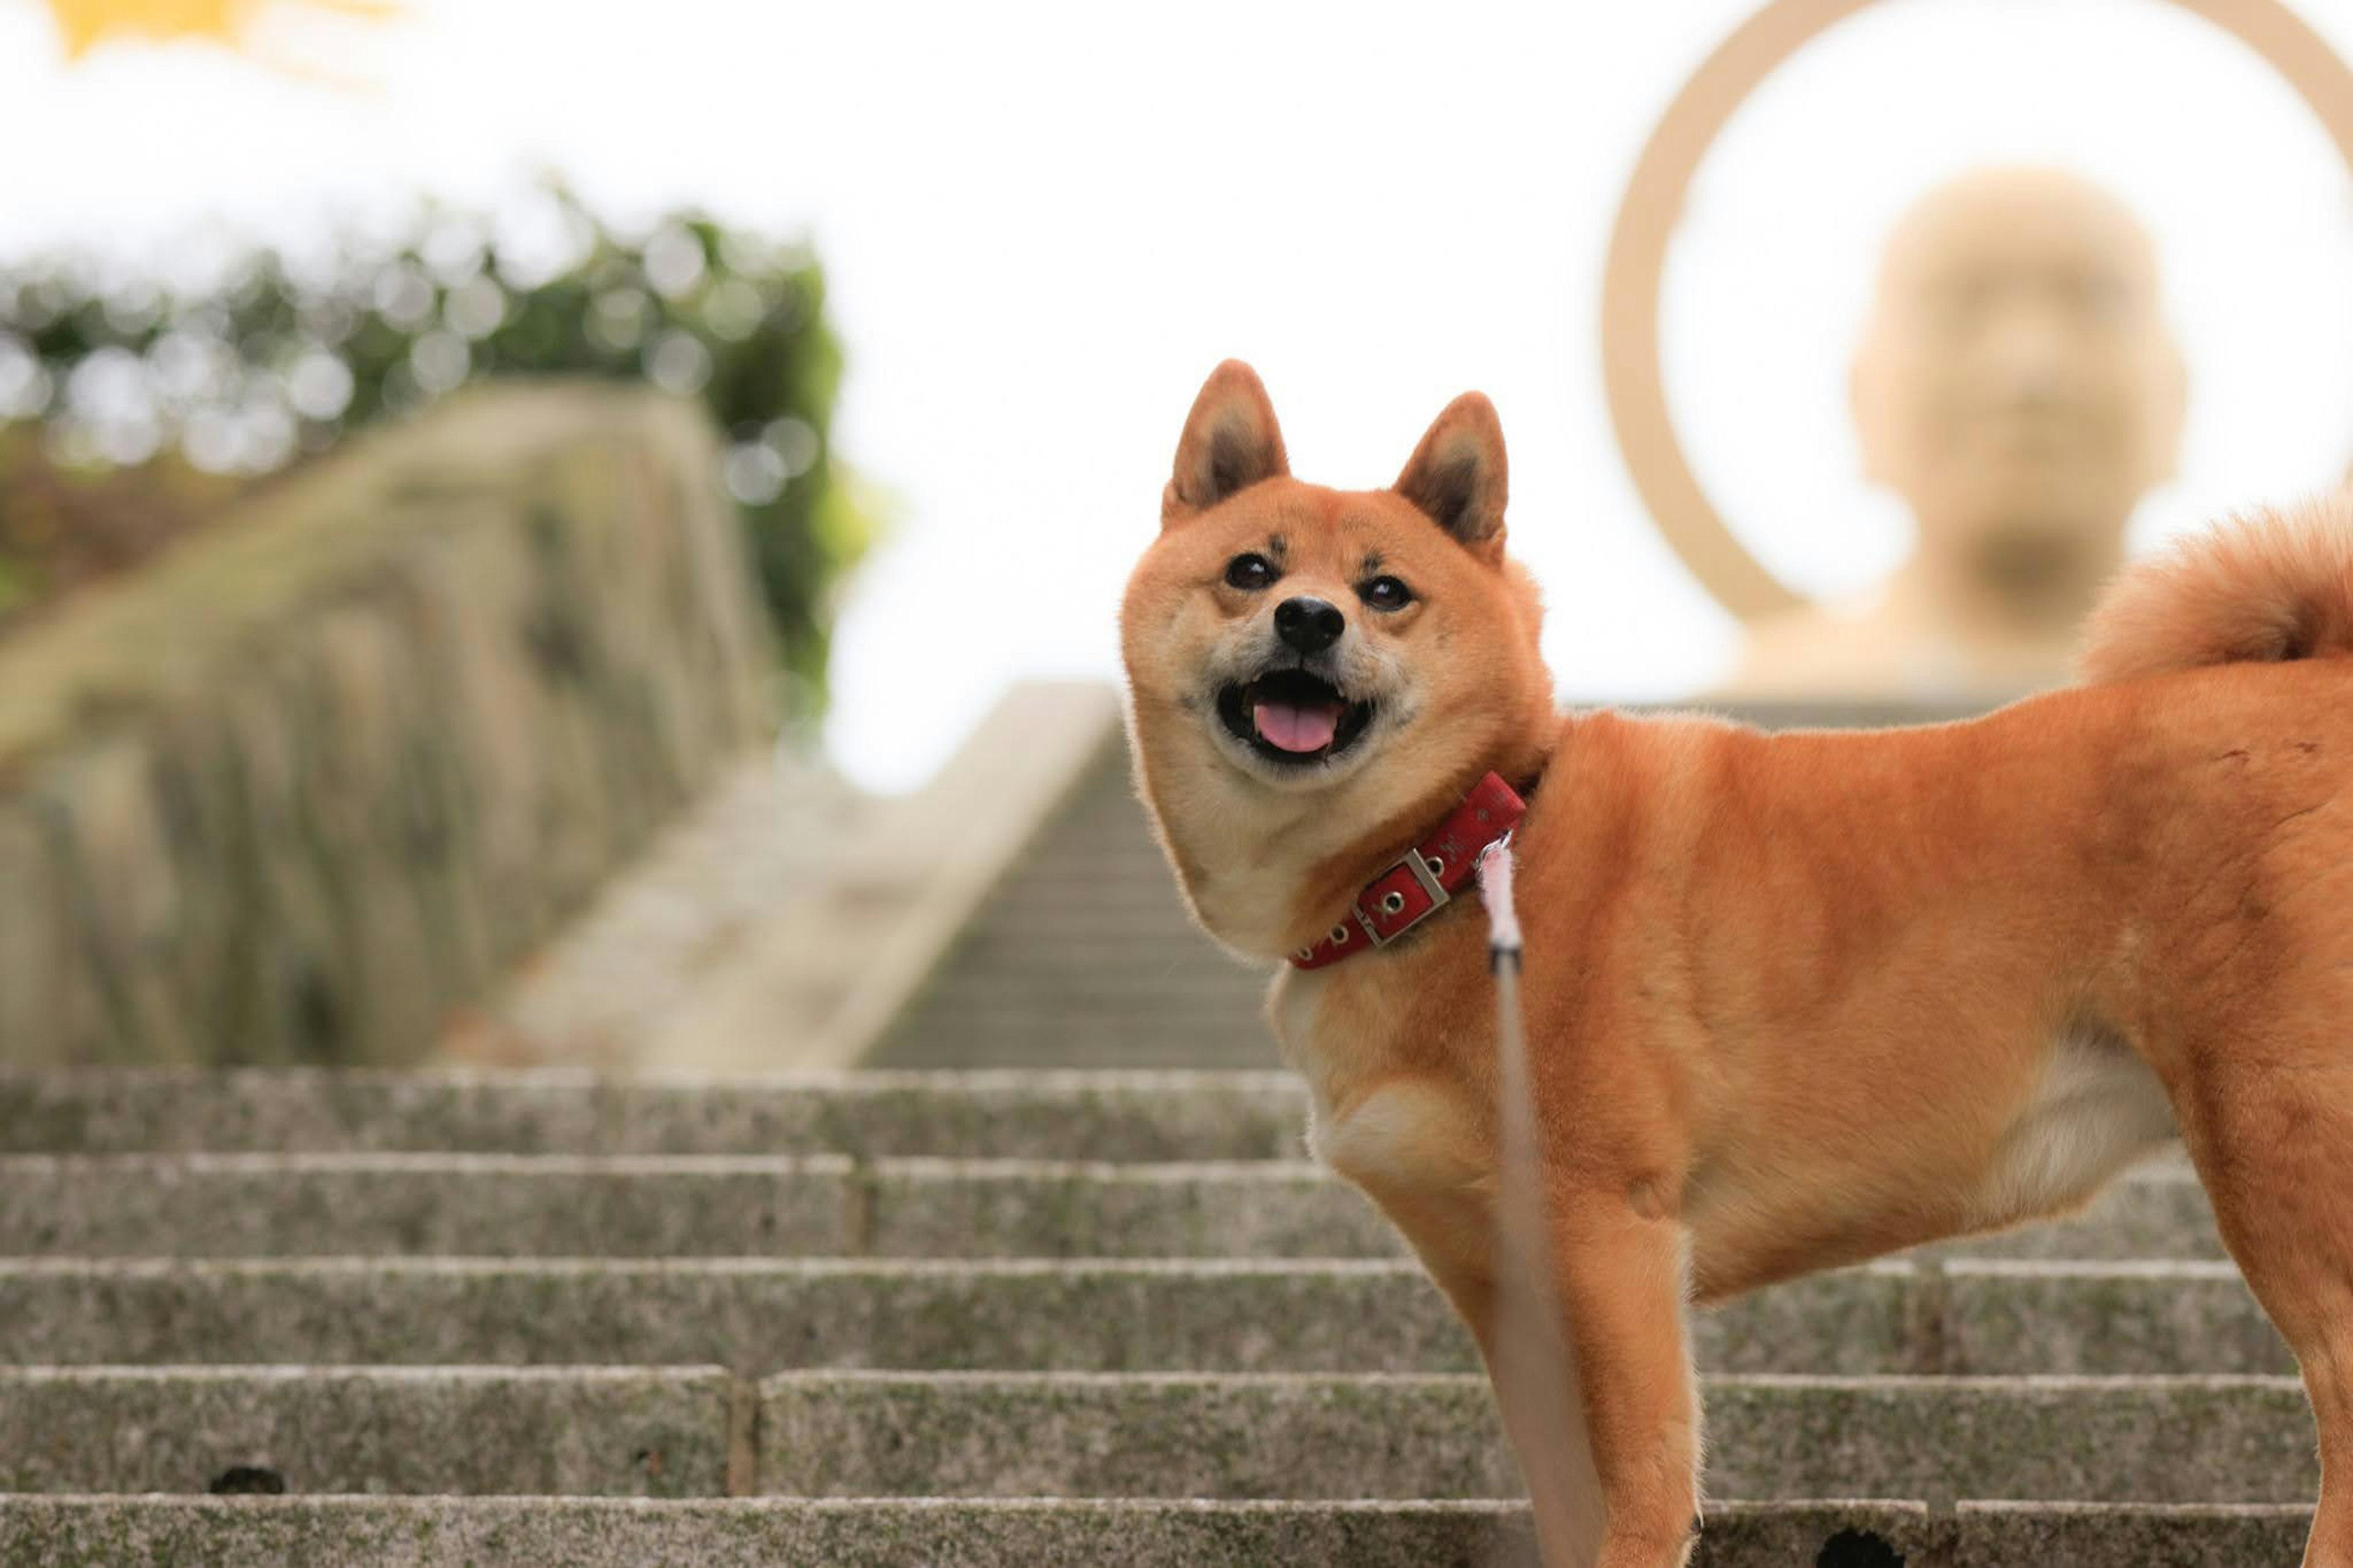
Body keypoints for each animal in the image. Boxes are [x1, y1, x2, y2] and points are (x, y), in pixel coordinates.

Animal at [1115, 353, 2353, 1563]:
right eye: (1250, 569)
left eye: (1384, 591)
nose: (1307, 619)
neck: (1458, 851)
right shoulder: (1506, 1291)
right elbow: (1568, 1499)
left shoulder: (1608, 1232)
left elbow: (1646, 1482)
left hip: (2276, 1144)